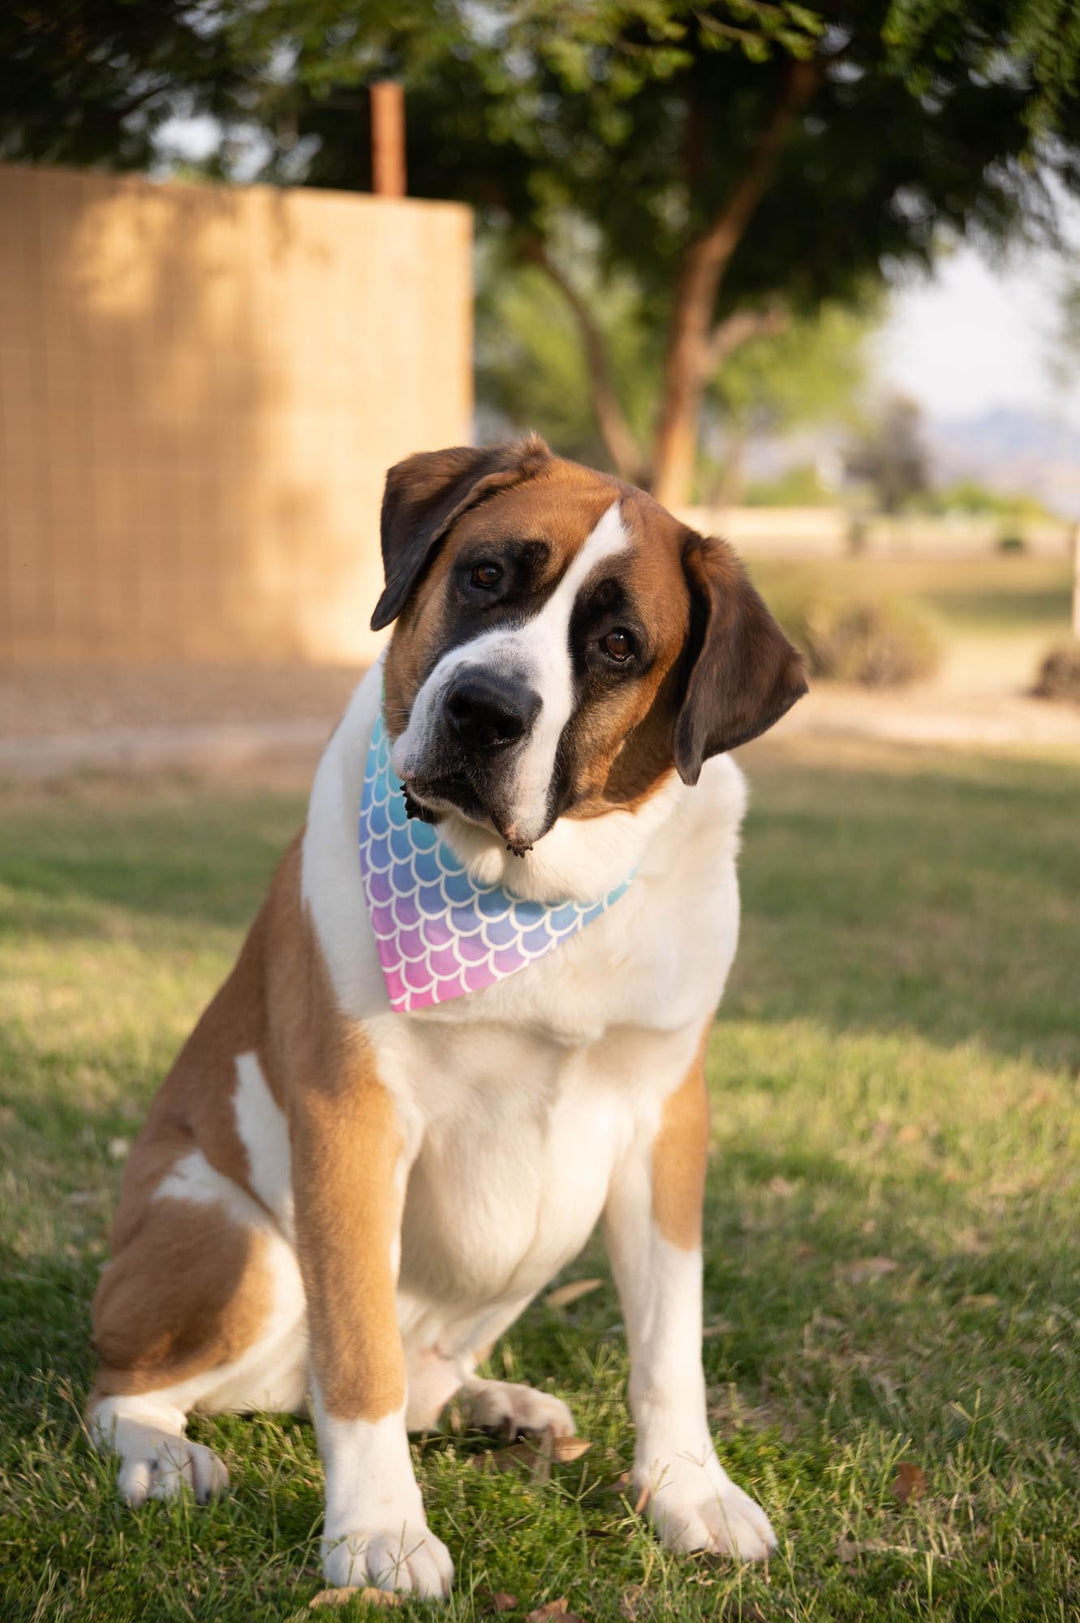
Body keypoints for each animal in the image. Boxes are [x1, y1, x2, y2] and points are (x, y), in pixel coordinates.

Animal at [88, 434, 805, 1597]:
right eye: (485, 574)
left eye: (618, 644)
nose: (485, 709)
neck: (529, 900)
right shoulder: (350, 1120)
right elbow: (358, 1352)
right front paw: (378, 1530)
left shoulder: (666, 1126)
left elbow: (669, 1342)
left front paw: (690, 1489)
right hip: (236, 1242)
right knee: (129, 1382)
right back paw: (160, 1451)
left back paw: (493, 1403)